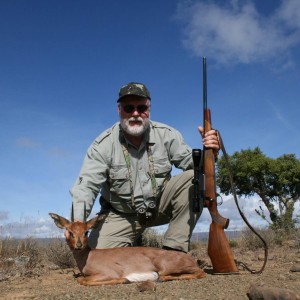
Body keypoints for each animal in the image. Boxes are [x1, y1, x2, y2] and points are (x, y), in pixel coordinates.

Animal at [49, 211, 206, 286]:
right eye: (70, 232)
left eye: (86, 231)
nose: (79, 245)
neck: (89, 256)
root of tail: (190, 258)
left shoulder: (107, 273)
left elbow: (82, 280)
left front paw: (124, 280)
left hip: (167, 268)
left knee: (200, 273)